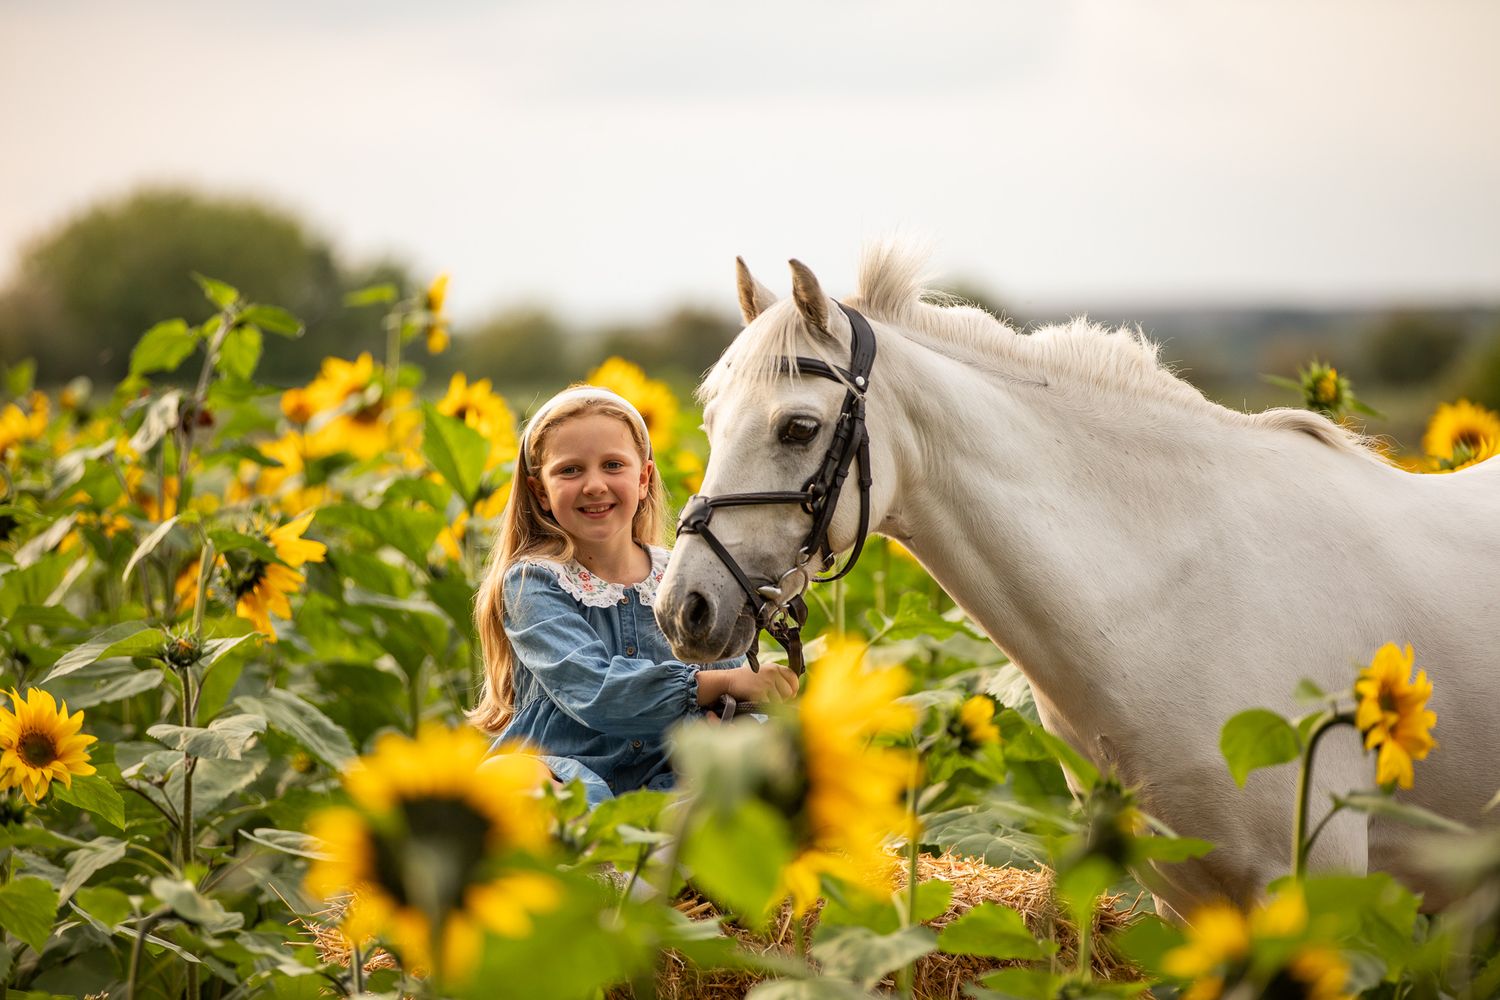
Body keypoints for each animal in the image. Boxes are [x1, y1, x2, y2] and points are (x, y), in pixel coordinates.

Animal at [654, 245, 1500, 918]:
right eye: (711, 421)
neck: (1170, 599)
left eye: (797, 428)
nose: (682, 610)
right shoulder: (1179, 892)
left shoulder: (1312, 888)